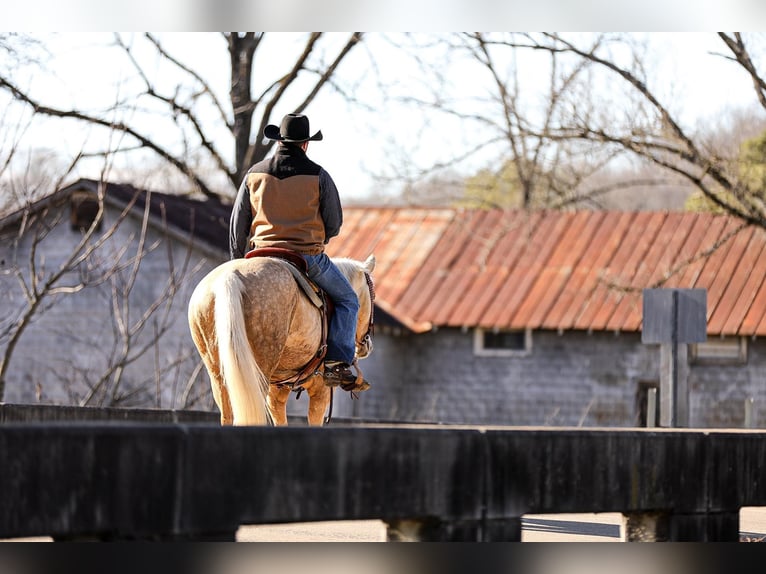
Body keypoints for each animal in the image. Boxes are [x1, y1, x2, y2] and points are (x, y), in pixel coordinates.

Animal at [188, 253, 376, 428]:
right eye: (372, 295)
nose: (367, 345)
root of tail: (230, 277)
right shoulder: (321, 390)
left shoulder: (277, 392)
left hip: (220, 378)